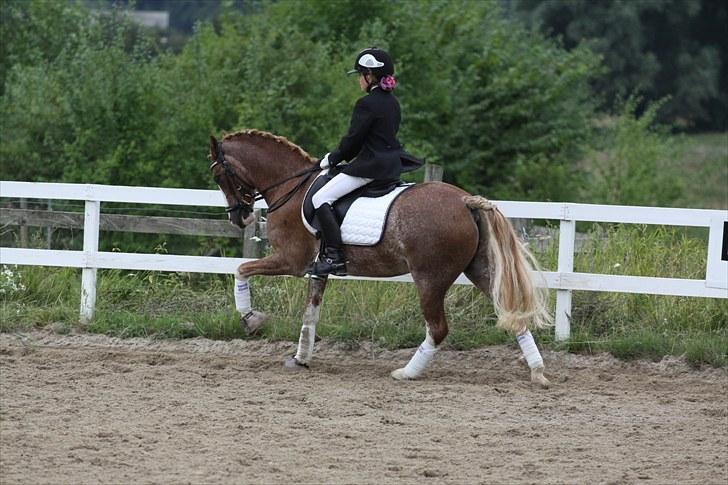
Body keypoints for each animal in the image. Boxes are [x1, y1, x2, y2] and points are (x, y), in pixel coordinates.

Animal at [210, 130, 552, 386]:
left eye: (218, 176)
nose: (239, 219)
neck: (291, 187)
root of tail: (466, 200)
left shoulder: (291, 261)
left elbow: (241, 269)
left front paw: (251, 320)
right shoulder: (317, 269)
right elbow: (310, 314)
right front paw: (300, 358)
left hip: (430, 278)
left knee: (438, 328)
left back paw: (407, 372)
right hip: (479, 269)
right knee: (512, 315)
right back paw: (537, 372)